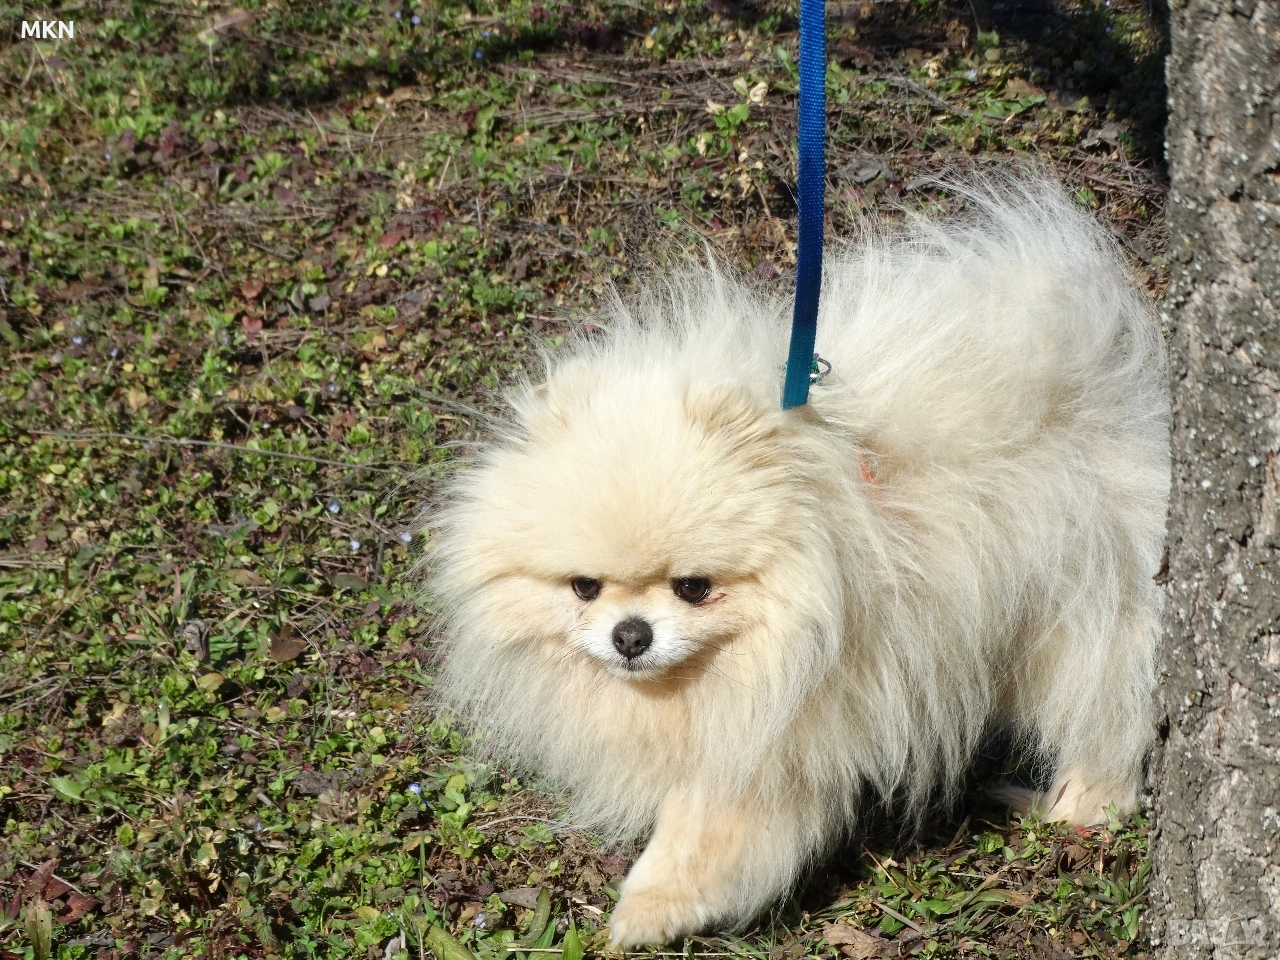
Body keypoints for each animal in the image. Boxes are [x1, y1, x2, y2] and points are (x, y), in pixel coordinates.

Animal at [424, 179, 1169, 947]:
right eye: (583, 587)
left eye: (694, 588)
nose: (631, 635)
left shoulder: (783, 734)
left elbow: (704, 832)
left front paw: (647, 911)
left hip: (1083, 611)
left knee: (1107, 711)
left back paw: (1078, 805)